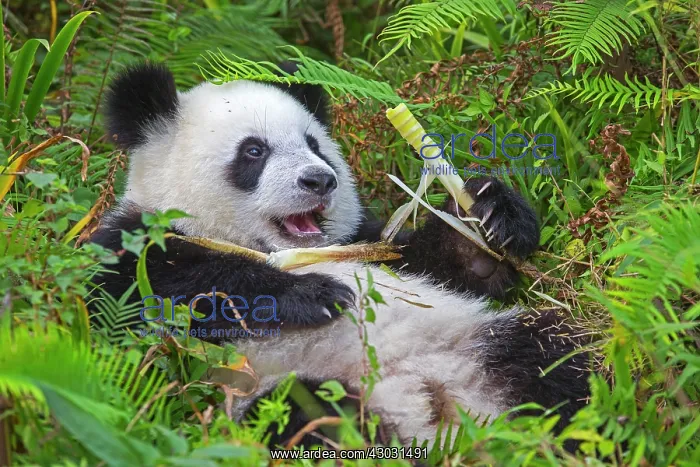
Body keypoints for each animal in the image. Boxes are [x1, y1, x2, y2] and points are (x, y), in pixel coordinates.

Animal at [90, 62, 589, 449]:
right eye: (253, 150)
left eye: (315, 145)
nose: (320, 180)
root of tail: (433, 411)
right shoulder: (132, 243)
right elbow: (147, 296)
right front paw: (313, 295)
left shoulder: (360, 244)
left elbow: (438, 267)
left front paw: (490, 215)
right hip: (280, 394)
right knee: (311, 417)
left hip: (478, 344)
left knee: (559, 364)